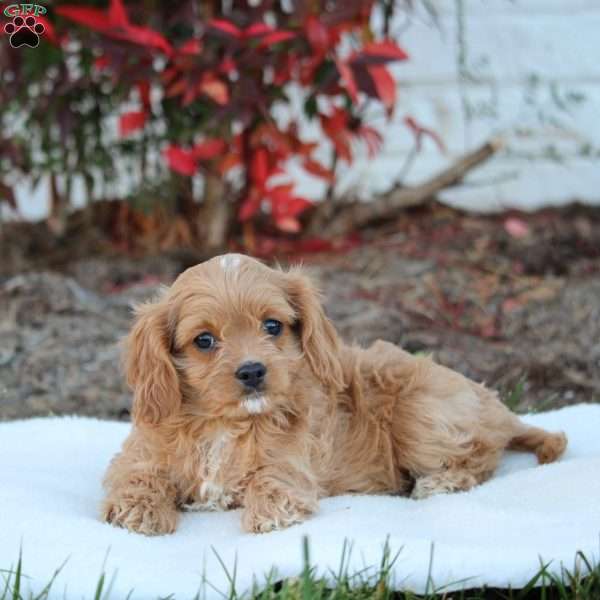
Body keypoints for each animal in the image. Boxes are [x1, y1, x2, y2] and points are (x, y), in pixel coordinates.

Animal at [103, 253, 568, 536]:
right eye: (204, 340)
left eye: (272, 326)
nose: (252, 371)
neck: (223, 423)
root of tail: (496, 407)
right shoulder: (140, 453)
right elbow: (136, 476)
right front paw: (138, 511)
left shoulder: (292, 461)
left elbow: (273, 481)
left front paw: (268, 514)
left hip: (422, 414)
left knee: (481, 458)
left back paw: (436, 483)